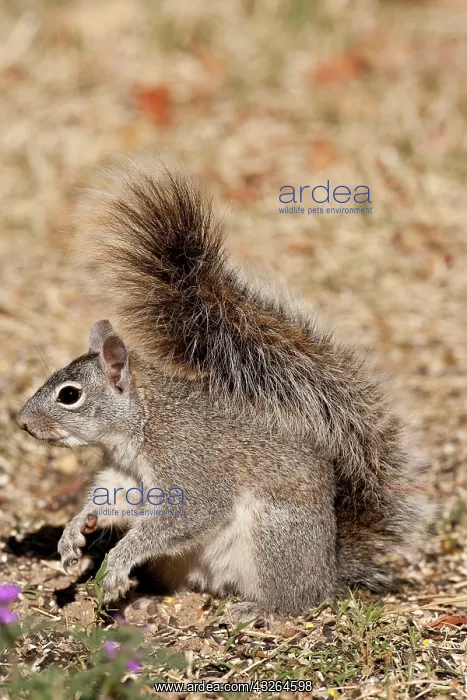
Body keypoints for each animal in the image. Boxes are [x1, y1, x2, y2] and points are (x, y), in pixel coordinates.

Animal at [17, 162, 433, 619]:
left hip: (274, 535)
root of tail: (329, 572)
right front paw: (76, 530)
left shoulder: (191, 465)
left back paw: (258, 609)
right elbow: (113, 501)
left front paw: (118, 561)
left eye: (69, 395)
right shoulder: (126, 476)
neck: (143, 422)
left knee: (293, 600)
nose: (22, 422)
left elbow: (187, 514)